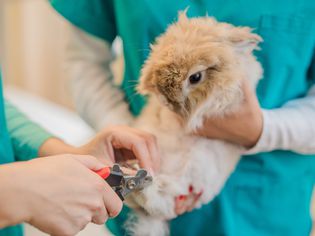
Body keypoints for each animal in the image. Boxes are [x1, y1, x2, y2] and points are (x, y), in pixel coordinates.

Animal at [124, 11, 262, 236]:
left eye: (195, 77)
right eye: (163, 51)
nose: (164, 97)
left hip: (191, 176)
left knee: (159, 202)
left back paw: (142, 183)